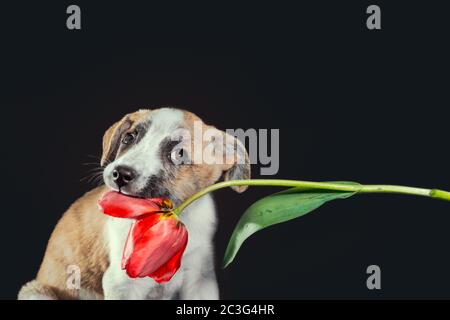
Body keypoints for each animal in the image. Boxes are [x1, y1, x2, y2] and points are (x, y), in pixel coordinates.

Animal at [18, 108, 250, 300]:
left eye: (179, 153)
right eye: (128, 138)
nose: (120, 174)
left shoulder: (200, 281)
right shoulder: (122, 284)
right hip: (35, 292)